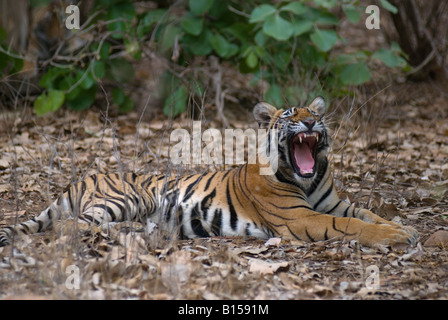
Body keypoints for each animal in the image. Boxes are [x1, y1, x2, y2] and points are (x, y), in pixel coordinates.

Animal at [0, 97, 418, 248]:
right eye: (289, 115)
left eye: (314, 113)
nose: (312, 121)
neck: (308, 177)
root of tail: (80, 179)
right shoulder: (300, 218)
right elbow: (353, 225)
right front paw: (396, 237)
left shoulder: (334, 205)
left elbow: (367, 214)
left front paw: (404, 229)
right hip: (131, 197)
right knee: (69, 226)